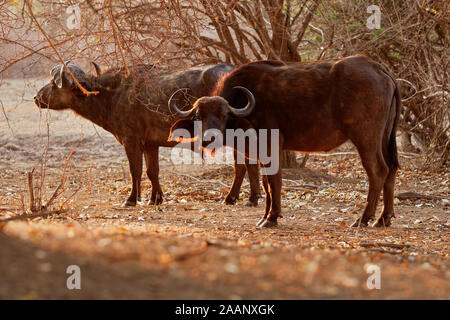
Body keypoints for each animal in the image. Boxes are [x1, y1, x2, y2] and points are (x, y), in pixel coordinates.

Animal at [34, 62, 260, 206]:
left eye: (54, 83)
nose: (37, 97)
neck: (113, 95)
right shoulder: (151, 144)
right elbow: (153, 171)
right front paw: (155, 198)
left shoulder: (131, 141)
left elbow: (136, 171)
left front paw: (132, 199)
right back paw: (240, 197)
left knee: (244, 165)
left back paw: (242, 198)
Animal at [169, 56, 400, 229]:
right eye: (198, 116)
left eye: (224, 115)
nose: (209, 138)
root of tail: (378, 68)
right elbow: (265, 182)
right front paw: (266, 215)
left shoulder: (271, 145)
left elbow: (274, 181)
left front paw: (271, 217)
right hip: (384, 138)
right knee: (391, 169)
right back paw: (383, 219)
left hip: (366, 138)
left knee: (378, 171)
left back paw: (364, 219)